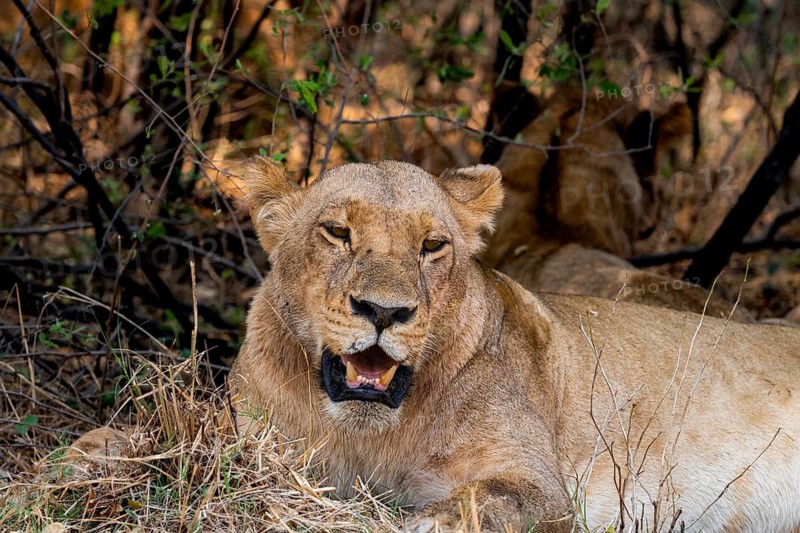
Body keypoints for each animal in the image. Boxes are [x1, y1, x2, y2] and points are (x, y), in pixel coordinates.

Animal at [231, 157, 800, 532]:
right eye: (336, 232)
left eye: (432, 245)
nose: (385, 312)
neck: (371, 437)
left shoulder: (544, 487)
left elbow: (485, 501)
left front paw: (427, 521)